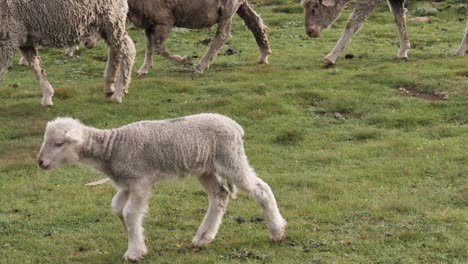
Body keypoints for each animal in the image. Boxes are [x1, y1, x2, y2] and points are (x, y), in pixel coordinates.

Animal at [0, 0, 135, 105]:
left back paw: (119, 93)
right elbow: (36, 66)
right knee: (114, 51)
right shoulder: (21, 36)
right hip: (105, 22)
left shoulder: (9, 35)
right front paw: (47, 95)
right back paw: (109, 86)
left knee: (127, 50)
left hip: (112, 17)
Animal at [37, 114, 286, 262]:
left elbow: (130, 213)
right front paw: (134, 238)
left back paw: (277, 231)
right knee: (219, 195)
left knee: (261, 189)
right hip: (206, 169)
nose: (40, 162)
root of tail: (235, 126)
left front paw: (134, 251)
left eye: (58, 143)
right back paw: (203, 238)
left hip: (230, 159)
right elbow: (118, 209)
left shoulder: (140, 181)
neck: (111, 148)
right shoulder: (126, 183)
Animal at [126, 0, 272, 75]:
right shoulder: (149, 23)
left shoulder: (164, 20)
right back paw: (264, 53)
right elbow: (149, 46)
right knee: (254, 21)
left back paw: (200, 66)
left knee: (222, 35)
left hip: (227, 7)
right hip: (239, 4)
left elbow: (157, 46)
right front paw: (144, 68)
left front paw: (185, 60)